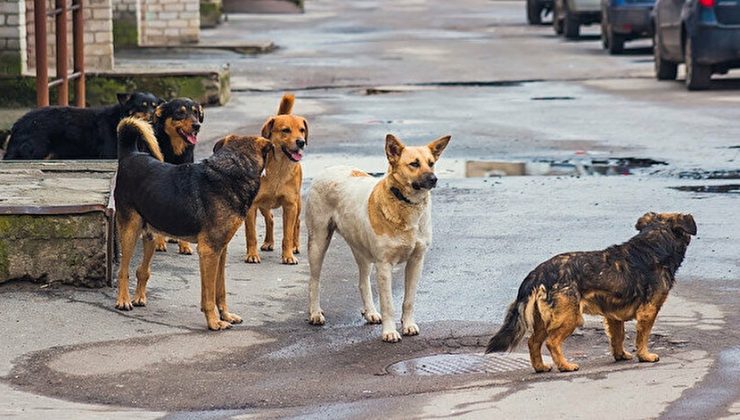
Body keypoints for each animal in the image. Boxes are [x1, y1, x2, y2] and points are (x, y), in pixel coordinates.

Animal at [3, 92, 160, 160]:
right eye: (142, 106)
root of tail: (17, 124)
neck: (120, 118)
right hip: (38, 150)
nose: (153, 116)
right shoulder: (110, 154)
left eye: (155, 106)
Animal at [115, 116, 274, 330]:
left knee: (142, 270)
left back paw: (139, 297)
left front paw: (226, 315)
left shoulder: (221, 250)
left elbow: (220, 290)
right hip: (130, 231)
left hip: (151, 234)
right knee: (123, 270)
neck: (233, 170)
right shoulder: (209, 251)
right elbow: (208, 295)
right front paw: (214, 322)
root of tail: (130, 154)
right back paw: (123, 300)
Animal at [244, 93, 308, 264]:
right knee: (270, 219)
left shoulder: (290, 206)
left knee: (297, 223)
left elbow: (287, 235)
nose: (301, 142)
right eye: (285, 130)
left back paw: (295, 246)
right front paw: (252, 254)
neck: (279, 168)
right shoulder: (252, 206)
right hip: (263, 205)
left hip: (297, 204)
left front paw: (288, 255)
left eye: (302, 130)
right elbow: (251, 235)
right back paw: (268, 242)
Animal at [486, 212, 692, 372]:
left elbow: (618, 337)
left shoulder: (613, 315)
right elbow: (642, 337)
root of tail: (538, 273)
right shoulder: (648, 311)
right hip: (570, 317)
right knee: (552, 342)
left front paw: (620, 355)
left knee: (533, 343)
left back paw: (541, 367)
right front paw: (645, 356)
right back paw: (565, 366)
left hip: (543, 320)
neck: (654, 244)